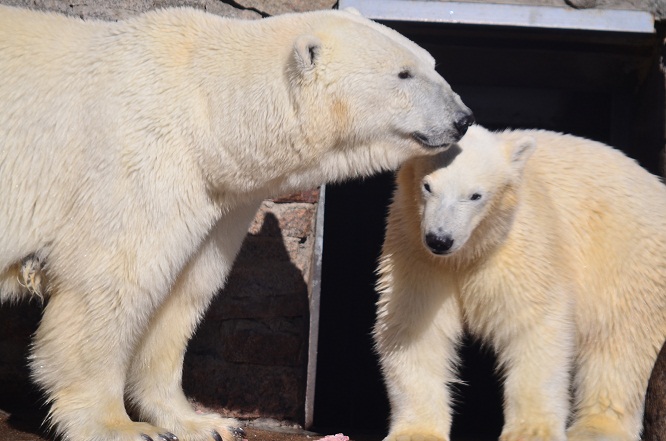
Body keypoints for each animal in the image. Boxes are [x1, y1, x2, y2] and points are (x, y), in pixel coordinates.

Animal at [0, 4, 474, 440]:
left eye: (431, 63)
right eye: (403, 74)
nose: (464, 118)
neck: (206, 106)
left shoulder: (216, 198)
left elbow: (182, 292)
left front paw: (204, 422)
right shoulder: (136, 157)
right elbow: (112, 280)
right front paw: (121, 426)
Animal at [374, 124, 664, 440]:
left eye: (475, 195)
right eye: (428, 186)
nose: (440, 239)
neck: (468, 253)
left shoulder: (520, 245)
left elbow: (533, 324)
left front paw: (532, 430)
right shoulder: (416, 252)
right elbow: (415, 329)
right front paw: (416, 431)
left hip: (628, 260)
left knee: (621, 342)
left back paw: (595, 428)